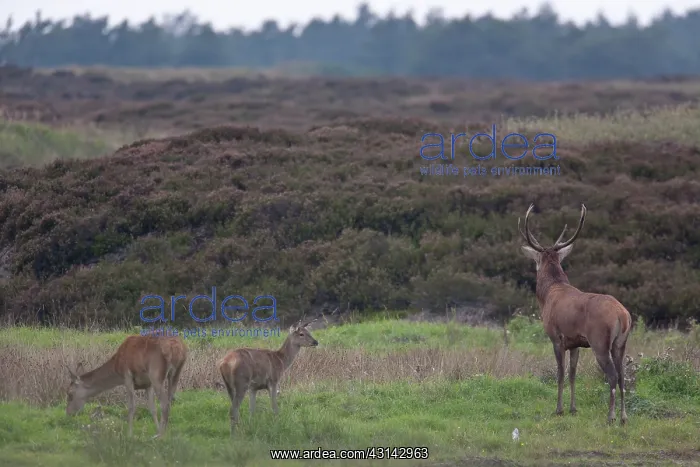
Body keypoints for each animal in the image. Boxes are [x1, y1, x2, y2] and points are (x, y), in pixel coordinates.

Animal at [518, 203, 632, 425]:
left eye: (537, 261)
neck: (547, 294)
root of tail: (622, 316)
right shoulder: (575, 343)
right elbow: (573, 374)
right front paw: (573, 408)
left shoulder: (556, 337)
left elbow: (560, 373)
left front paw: (559, 409)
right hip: (621, 343)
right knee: (623, 375)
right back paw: (624, 417)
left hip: (600, 341)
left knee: (613, 376)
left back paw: (611, 416)